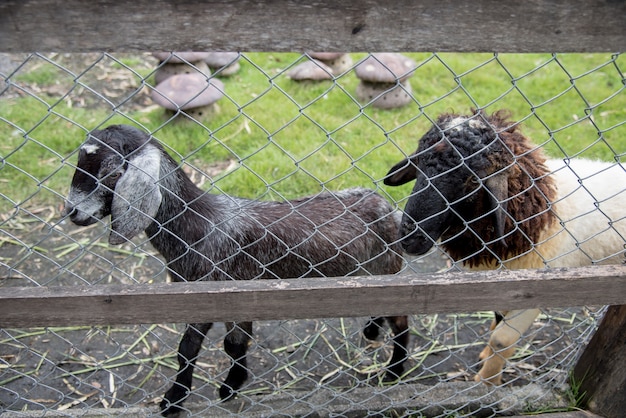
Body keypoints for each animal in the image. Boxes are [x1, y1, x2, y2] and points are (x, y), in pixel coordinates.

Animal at [61, 124, 408, 414]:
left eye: (110, 172)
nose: (71, 211)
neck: (198, 224)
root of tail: (387, 206)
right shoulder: (227, 293)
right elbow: (233, 344)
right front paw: (232, 385)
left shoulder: (214, 290)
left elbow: (192, 349)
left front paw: (178, 399)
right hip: (370, 272)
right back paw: (372, 330)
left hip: (386, 265)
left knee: (401, 321)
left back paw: (394, 370)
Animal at [382, 110, 620, 386]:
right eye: (419, 163)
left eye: (473, 180)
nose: (410, 238)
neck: (541, 217)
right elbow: (498, 318)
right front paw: (486, 356)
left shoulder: (537, 291)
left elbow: (502, 339)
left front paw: (487, 383)